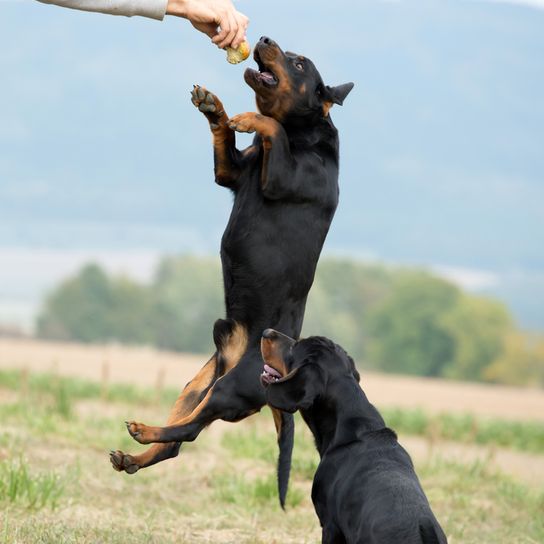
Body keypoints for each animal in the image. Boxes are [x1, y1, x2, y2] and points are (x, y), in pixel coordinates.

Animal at [110, 37, 352, 506]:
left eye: (298, 63)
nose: (264, 39)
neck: (304, 135)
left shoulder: (280, 176)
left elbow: (271, 126)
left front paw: (249, 117)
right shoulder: (232, 172)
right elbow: (230, 138)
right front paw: (215, 108)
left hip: (229, 388)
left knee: (186, 432)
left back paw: (142, 431)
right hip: (198, 385)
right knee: (176, 439)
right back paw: (135, 455)